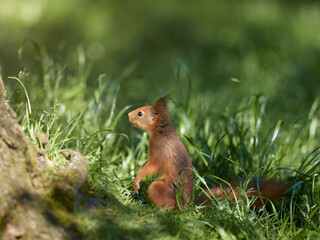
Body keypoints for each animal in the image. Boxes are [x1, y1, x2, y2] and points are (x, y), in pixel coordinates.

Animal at [128, 95, 288, 208]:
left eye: (140, 113)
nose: (128, 114)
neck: (161, 130)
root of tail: (188, 207)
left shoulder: (159, 148)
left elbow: (153, 165)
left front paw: (137, 179)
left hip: (162, 189)